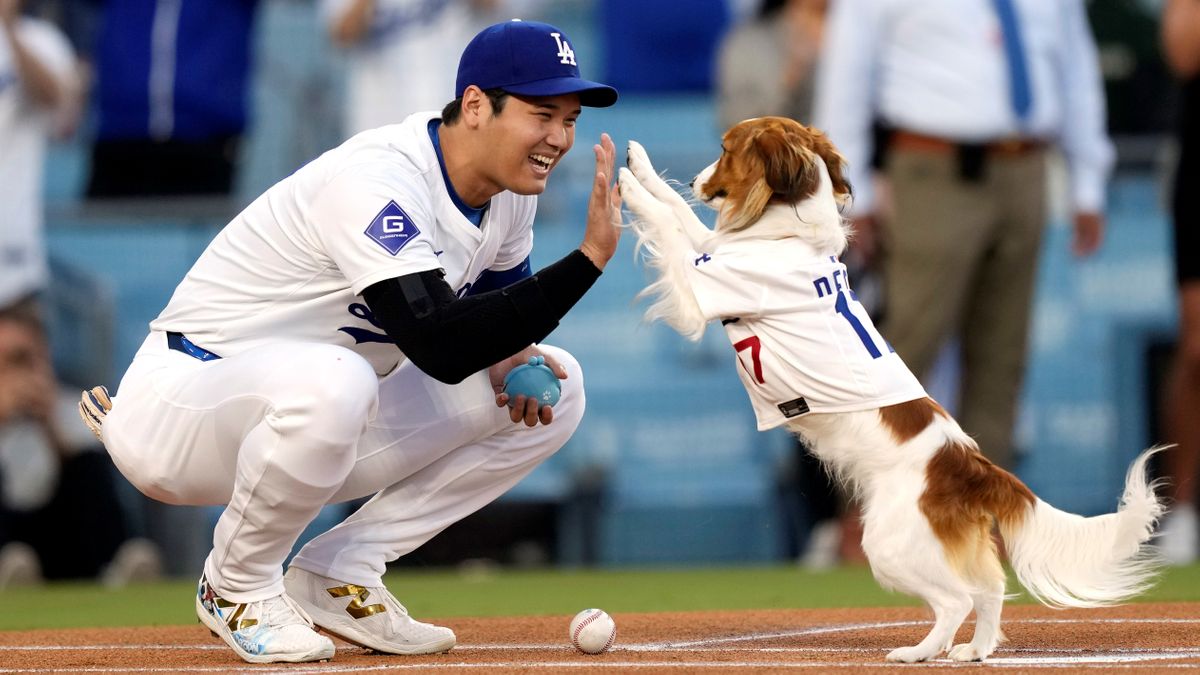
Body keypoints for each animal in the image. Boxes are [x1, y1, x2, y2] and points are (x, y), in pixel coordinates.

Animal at [619, 114, 1161, 658]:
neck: (788, 234)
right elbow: (683, 219)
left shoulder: (699, 293)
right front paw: (641, 168)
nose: (695, 180)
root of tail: (970, 465)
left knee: (956, 600)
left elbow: (668, 224)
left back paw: (919, 651)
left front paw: (627, 185)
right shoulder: (713, 253)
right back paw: (974, 650)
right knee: (989, 590)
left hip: (887, 545)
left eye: (725, 149)